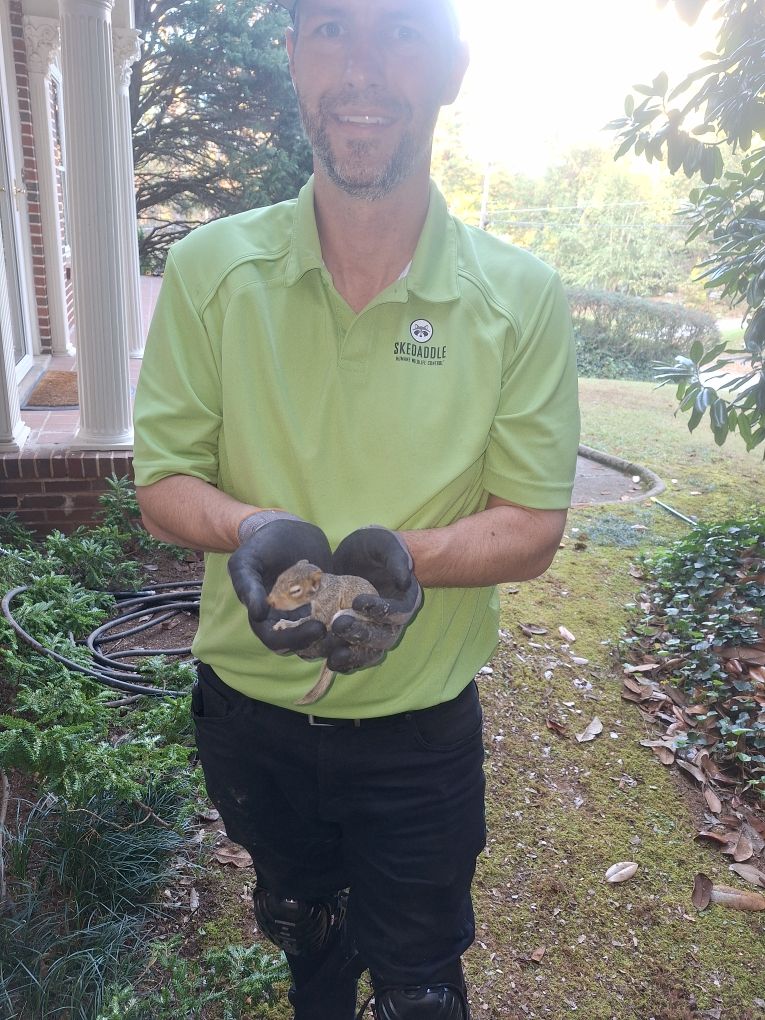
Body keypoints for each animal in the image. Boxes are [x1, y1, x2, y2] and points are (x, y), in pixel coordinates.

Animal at [267, 559, 378, 705]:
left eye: (296, 590)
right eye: (279, 578)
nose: (270, 601)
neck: (322, 589)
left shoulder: (328, 603)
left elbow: (311, 620)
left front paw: (287, 624)